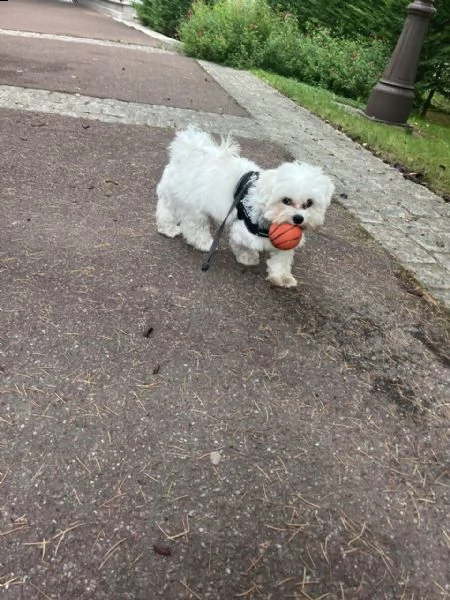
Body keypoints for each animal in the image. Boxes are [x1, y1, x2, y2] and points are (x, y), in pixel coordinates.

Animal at [156, 127, 334, 288]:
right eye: (286, 200)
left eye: (309, 203)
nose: (298, 218)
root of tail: (189, 150)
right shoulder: (244, 228)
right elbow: (243, 244)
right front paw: (248, 257)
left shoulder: (287, 239)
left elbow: (282, 258)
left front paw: (282, 277)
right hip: (193, 206)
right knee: (193, 226)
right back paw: (204, 243)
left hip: (172, 194)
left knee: (165, 210)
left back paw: (167, 229)